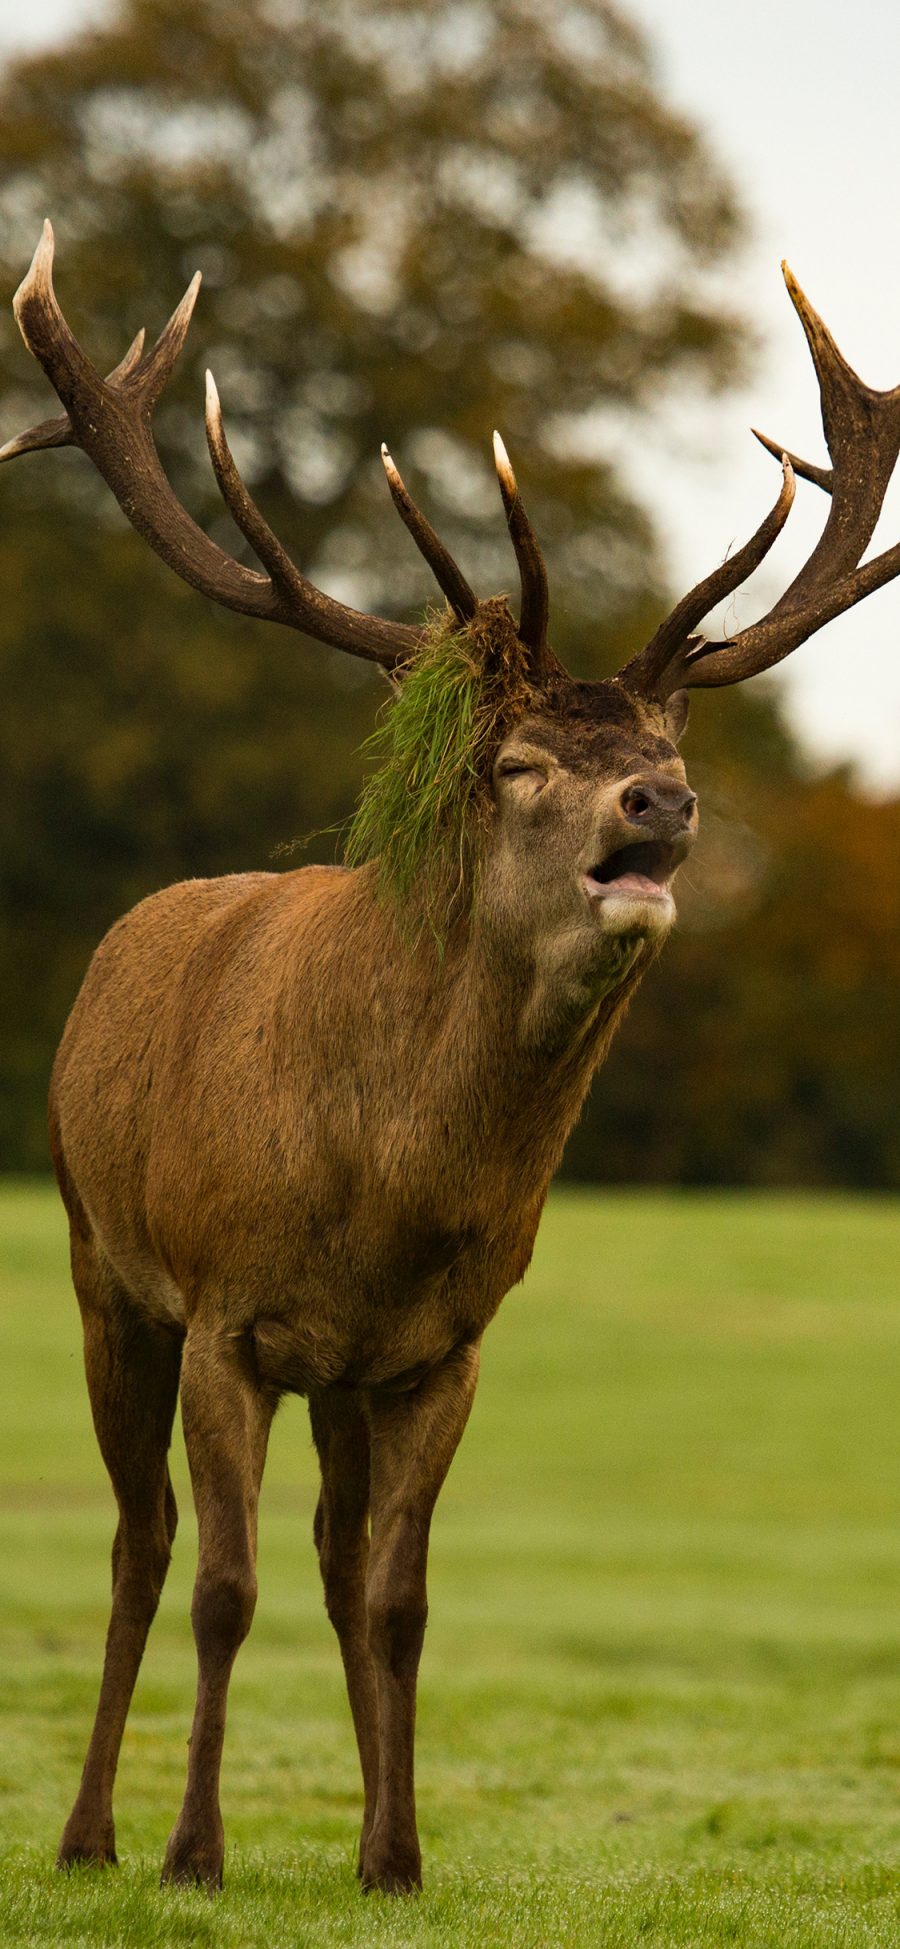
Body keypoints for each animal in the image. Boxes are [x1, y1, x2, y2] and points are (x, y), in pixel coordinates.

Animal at [1, 221, 900, 1894]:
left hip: (336, 1377)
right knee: (143, 1543)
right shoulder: (225, 1313)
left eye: (670, 755)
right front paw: (194, 1851)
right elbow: (220, 1587)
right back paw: (91, 1834)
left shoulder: (443, 1345)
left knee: (333, 1555)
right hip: (104, 1268)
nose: (662, 807)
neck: (388, 1193)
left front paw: (398, 1855)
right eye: (523, 764)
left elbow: (399, 1599)